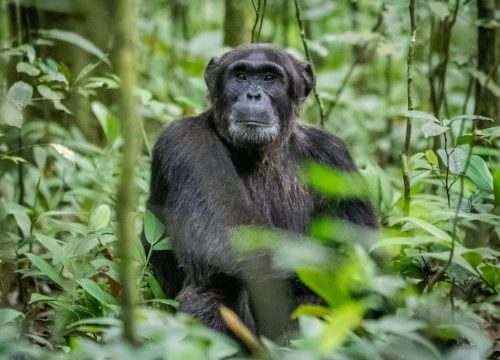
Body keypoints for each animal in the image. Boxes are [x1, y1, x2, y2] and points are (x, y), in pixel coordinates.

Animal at [145, 43, 376, 338]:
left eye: (269, 78)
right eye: (241, 76)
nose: (253, 95)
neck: (260, 154)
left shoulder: (335, 157)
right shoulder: (184, 143)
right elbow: (231, 235)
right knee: (214, 288)